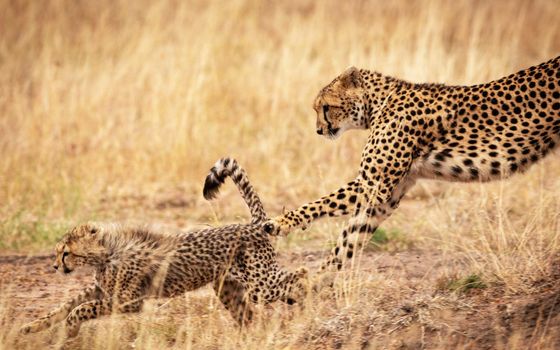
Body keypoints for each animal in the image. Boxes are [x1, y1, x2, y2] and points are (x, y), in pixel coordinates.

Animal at [21, 158, 308, 336]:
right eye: (58, 253)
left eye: (66, 253)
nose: (55, 266)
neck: (106, 254)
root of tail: (254, 225)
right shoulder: (101, 290)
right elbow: (66, 305)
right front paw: (32, 327)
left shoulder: (129, 301)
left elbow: (81, 308)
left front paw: (71, 328)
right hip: (228, 287)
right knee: (247, 314)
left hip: (261, 284)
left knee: (301, 275)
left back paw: (305, 301)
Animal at [266, 55, 560, 270]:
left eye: (326, 107)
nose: (318, 130)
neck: (378, 103)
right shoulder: (388, 196)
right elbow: (347, 240)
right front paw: (312, 287)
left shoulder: (374, 186)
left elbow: (319, 204)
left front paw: (280, 222)